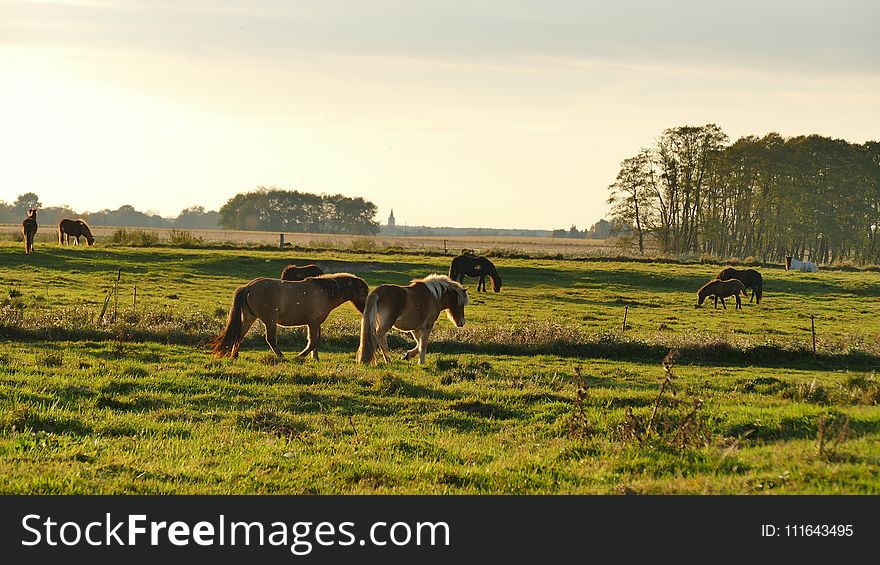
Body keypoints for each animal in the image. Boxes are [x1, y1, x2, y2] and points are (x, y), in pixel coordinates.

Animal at [211, 272, 370, 360]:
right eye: (364, 293)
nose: (366, 310)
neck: (324, 293)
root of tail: (248, 287)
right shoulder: (313, 322)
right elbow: (312, 341)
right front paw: (301, 356)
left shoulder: (315, 323)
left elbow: (315, 340)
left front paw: (315, 357)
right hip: (269, 321)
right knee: (270, 339)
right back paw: (281, 356)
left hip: (250, 317)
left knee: (239, 334)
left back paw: (235, 355)